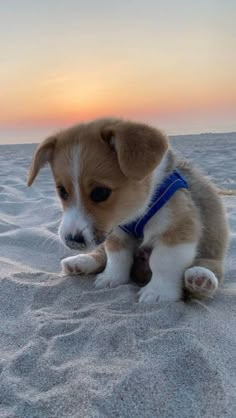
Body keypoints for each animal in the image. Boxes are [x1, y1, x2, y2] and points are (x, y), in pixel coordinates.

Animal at [27, 119, 229, 302]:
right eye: (62, 191)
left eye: (100, 193)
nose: (72, 240)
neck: (136, 212)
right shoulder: (116, 231)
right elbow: (117, 257)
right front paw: (112, 278)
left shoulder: (177, 228)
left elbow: (163, 262)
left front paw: (158, 292)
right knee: (101, 255)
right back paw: (79, 262)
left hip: (212, 251)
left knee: (211, 268)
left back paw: (200, 278)